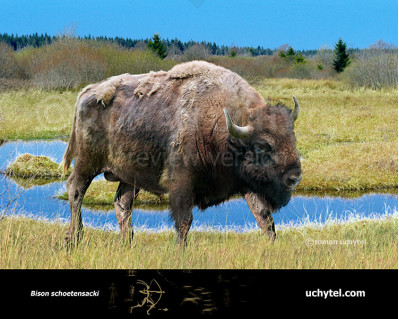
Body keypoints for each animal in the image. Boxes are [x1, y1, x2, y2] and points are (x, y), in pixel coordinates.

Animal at [61, 60, 302, 248]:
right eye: (261, 146)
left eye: (292, 138)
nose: (294, 176)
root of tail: (87, 92)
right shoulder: (182, 183)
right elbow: (184, 220)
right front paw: (180, 250)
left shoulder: (248, 185)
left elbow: (264, 218)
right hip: (87, 163)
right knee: (76, 191)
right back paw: (74, 239)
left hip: (129, 176)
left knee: (122, 205)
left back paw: (128, 243)